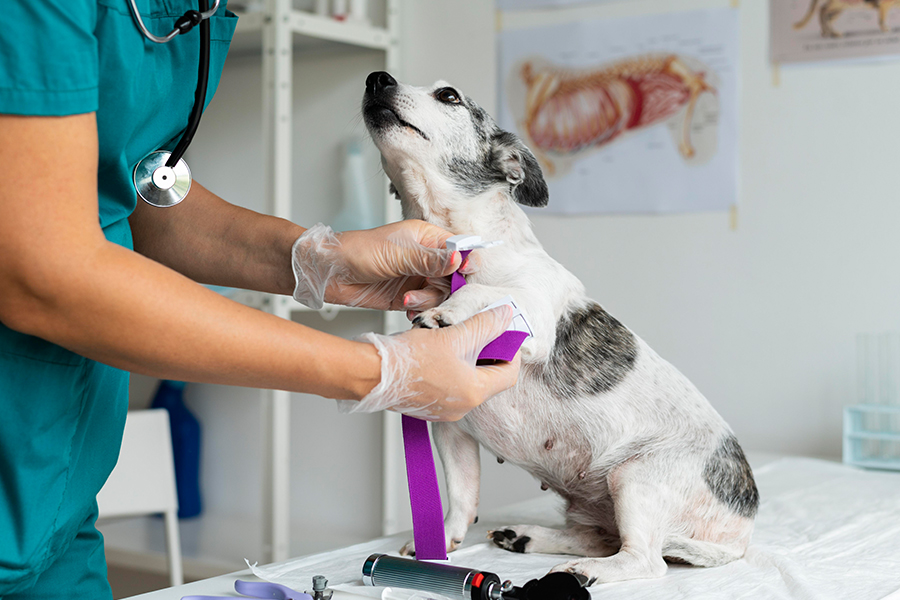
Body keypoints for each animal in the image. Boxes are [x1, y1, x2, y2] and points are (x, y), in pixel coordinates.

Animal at [362, 71, 756, 584]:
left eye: (448, 95)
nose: (376, 78)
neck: (460, 248)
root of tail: (741, 533)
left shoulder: (533, 314)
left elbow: (489, 295)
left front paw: (449, 310)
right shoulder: (452, 427)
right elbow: (461, 498)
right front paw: (442, 542)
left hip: (635, 476)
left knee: (645, 560)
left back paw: (584, 571)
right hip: (601, 504)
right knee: (603, 538)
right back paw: (528, 537)